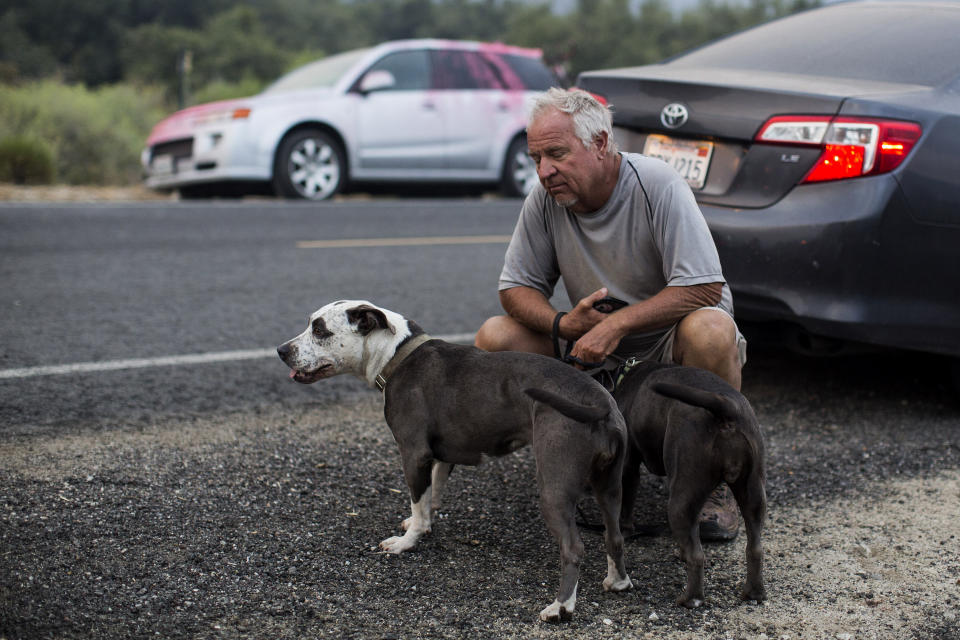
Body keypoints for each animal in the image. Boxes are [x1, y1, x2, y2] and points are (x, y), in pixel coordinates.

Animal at [278, 302, 632, 624]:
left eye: (320, 330)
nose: (281, 350)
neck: (397, 354)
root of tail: (599, 400)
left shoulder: (413, 453)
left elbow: (418, 500)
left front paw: (407, 542)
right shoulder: (440, 457)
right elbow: (430, 496)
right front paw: (419, 523)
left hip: (554, 489)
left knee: (573, 547)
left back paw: (560, 608)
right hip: (610, 486)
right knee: (614, 535)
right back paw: (617, 582)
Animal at [616, 362, 764, 608]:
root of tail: (726, 409)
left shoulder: (628, 465)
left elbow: (626, 504)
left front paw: (626, 530)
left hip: (680, 500)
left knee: (697, 556)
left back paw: (690, 599)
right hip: (753, 493)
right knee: (755, 548)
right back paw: (754, 592)